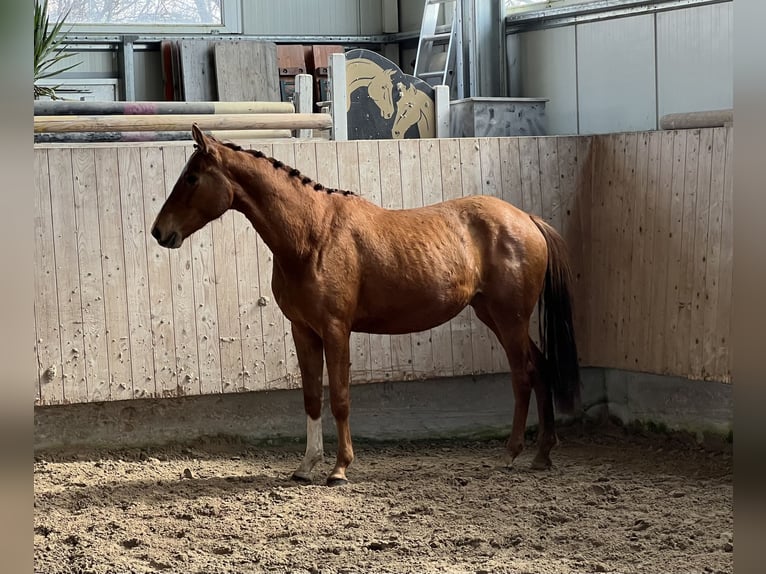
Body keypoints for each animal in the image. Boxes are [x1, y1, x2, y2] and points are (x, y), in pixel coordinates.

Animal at [151, 124, 581, 486]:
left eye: (191, 178)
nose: (159, 231)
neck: (312, 236)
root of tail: (526, 218)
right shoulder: (303, 331)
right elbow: (311, 396)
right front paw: (306, 465)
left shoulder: (335, 329)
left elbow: (340, 398)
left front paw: (339, 468)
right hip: (494, 315)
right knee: (541, 369)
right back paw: (542, 454)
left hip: (510, 319)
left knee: (523, 376)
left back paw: (511, 454)